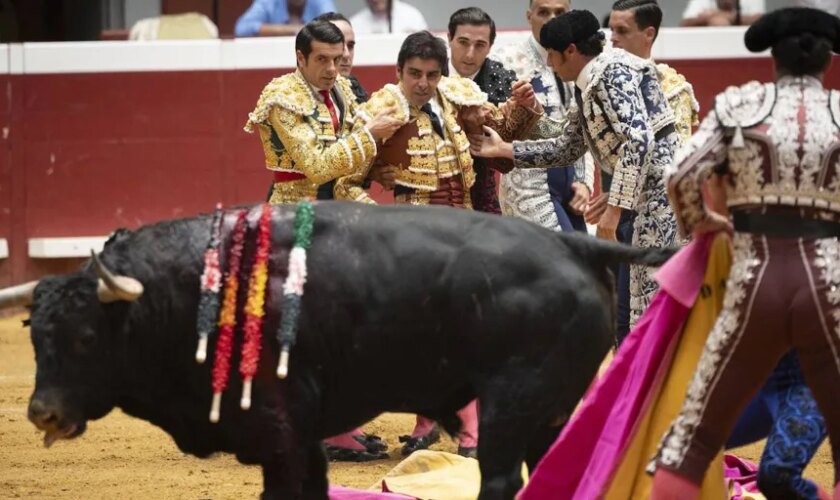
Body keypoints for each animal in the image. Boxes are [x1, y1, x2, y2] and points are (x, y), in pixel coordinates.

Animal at [0, 203, 668, 500]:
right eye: (34, 335)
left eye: (86, 337)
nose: (43, 414)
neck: (185, 292)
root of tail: (573, 243)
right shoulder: (297, 440)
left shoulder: (278, 429)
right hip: (550, 407)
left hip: (513, 400)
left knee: (500, 476)